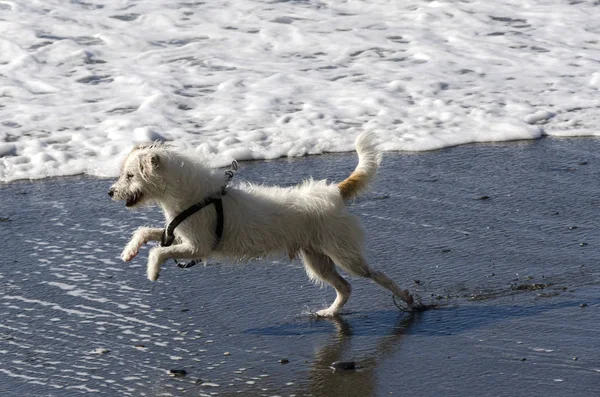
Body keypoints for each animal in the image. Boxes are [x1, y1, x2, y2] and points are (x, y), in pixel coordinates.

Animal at [109, 133, 412, 316]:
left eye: (130, 175)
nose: (110, 192)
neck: (194, 198)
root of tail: (333, 192)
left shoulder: (198, 248)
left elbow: (158, 251)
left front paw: (152, 272)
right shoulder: (179, 236)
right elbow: (147, 233)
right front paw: (129, 251)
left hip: (343, 253)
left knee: (375, 274)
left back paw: (407, 298)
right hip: (317, 259)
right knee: (345, 287)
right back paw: (330, 312)